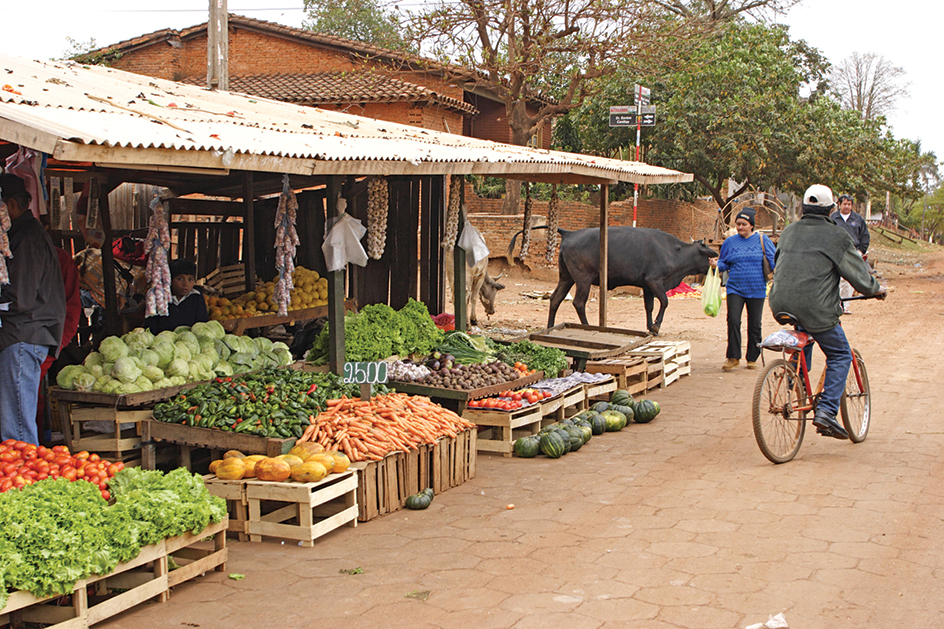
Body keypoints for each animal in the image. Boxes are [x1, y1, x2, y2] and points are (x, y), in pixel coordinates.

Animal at [512, 226, 720, 334]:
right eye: (708, 253)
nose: (717, 260)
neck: (674, 251)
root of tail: (570, 233)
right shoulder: (654, 281)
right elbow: (665, 301)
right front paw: (656, 326)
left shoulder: (647, 285)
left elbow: (650, 306)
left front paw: (650, 326)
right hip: (583, 278)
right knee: (579, 302)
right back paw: (587, 326)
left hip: (566, 277)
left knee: (555, 299)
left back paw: (549, 327)